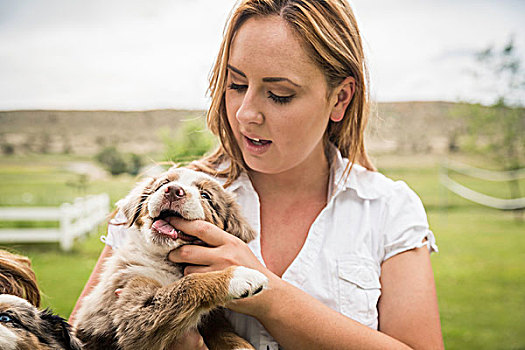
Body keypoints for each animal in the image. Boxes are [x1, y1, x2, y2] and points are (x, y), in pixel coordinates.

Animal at [73, 168, 266, 348]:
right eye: (163, 183)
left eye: (205, 195)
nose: (173, 190)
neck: (166, 260)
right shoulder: (131, 310)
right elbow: (187, 285)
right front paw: (240, 276)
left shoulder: (210, 320)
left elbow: (222, 331)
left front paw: (241, 346)